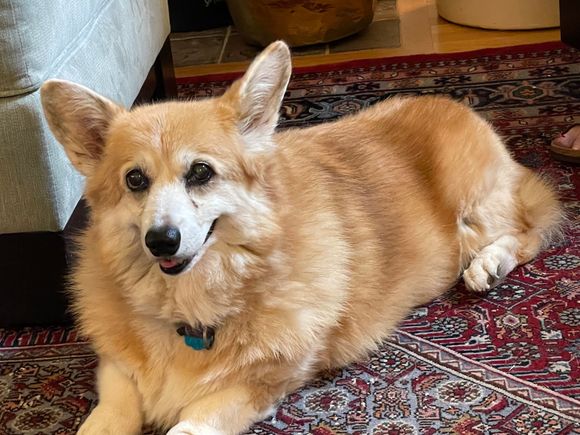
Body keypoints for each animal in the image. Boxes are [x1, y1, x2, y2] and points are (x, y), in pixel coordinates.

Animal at [40, 41, 562, 435]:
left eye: (201, 172)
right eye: (135, 180)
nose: (161, 241)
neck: (190, 306)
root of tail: (456, 105)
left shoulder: (253, 386)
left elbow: (189, 424)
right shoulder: (119, 378)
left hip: (475, 213)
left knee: (527, 232)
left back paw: (488, 265)